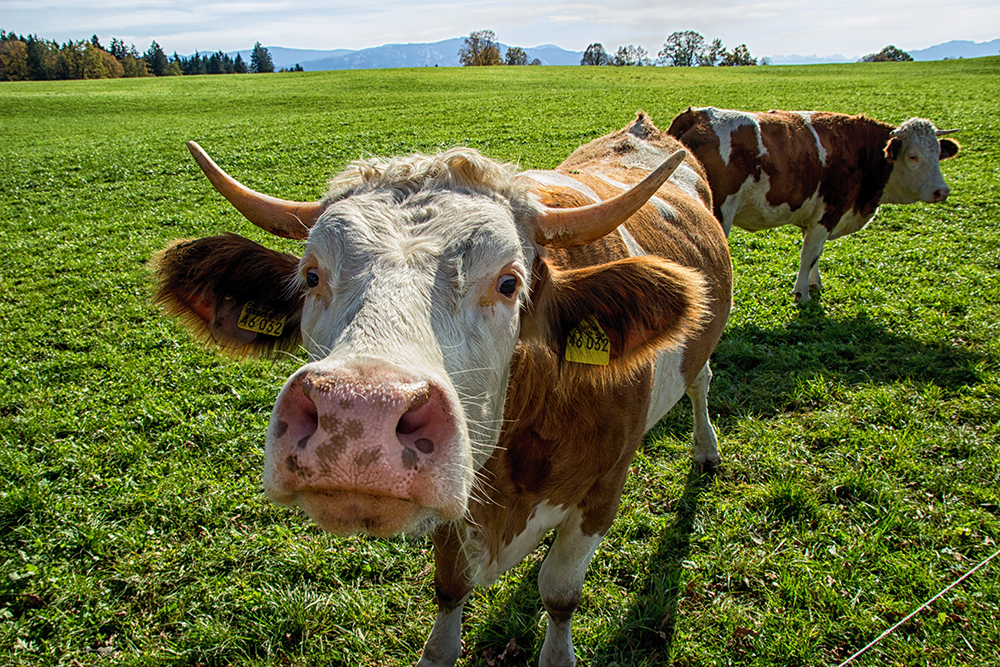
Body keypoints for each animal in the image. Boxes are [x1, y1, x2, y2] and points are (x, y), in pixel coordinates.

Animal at [154, 112, 736, 664]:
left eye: (509, 283)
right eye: (311, 276)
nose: (357, 414)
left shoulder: (603, 489)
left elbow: (559, 593)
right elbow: (450, 590)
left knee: (701, 382)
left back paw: (706, 450)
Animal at [668, 106, 956, 302]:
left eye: (938, 154)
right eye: (913, 156)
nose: (941, 191)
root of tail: (696, 115)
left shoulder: (816, 217)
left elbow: (816, 253)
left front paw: (815, 284)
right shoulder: (829, 211)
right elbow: (808, 255)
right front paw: (802, 294)